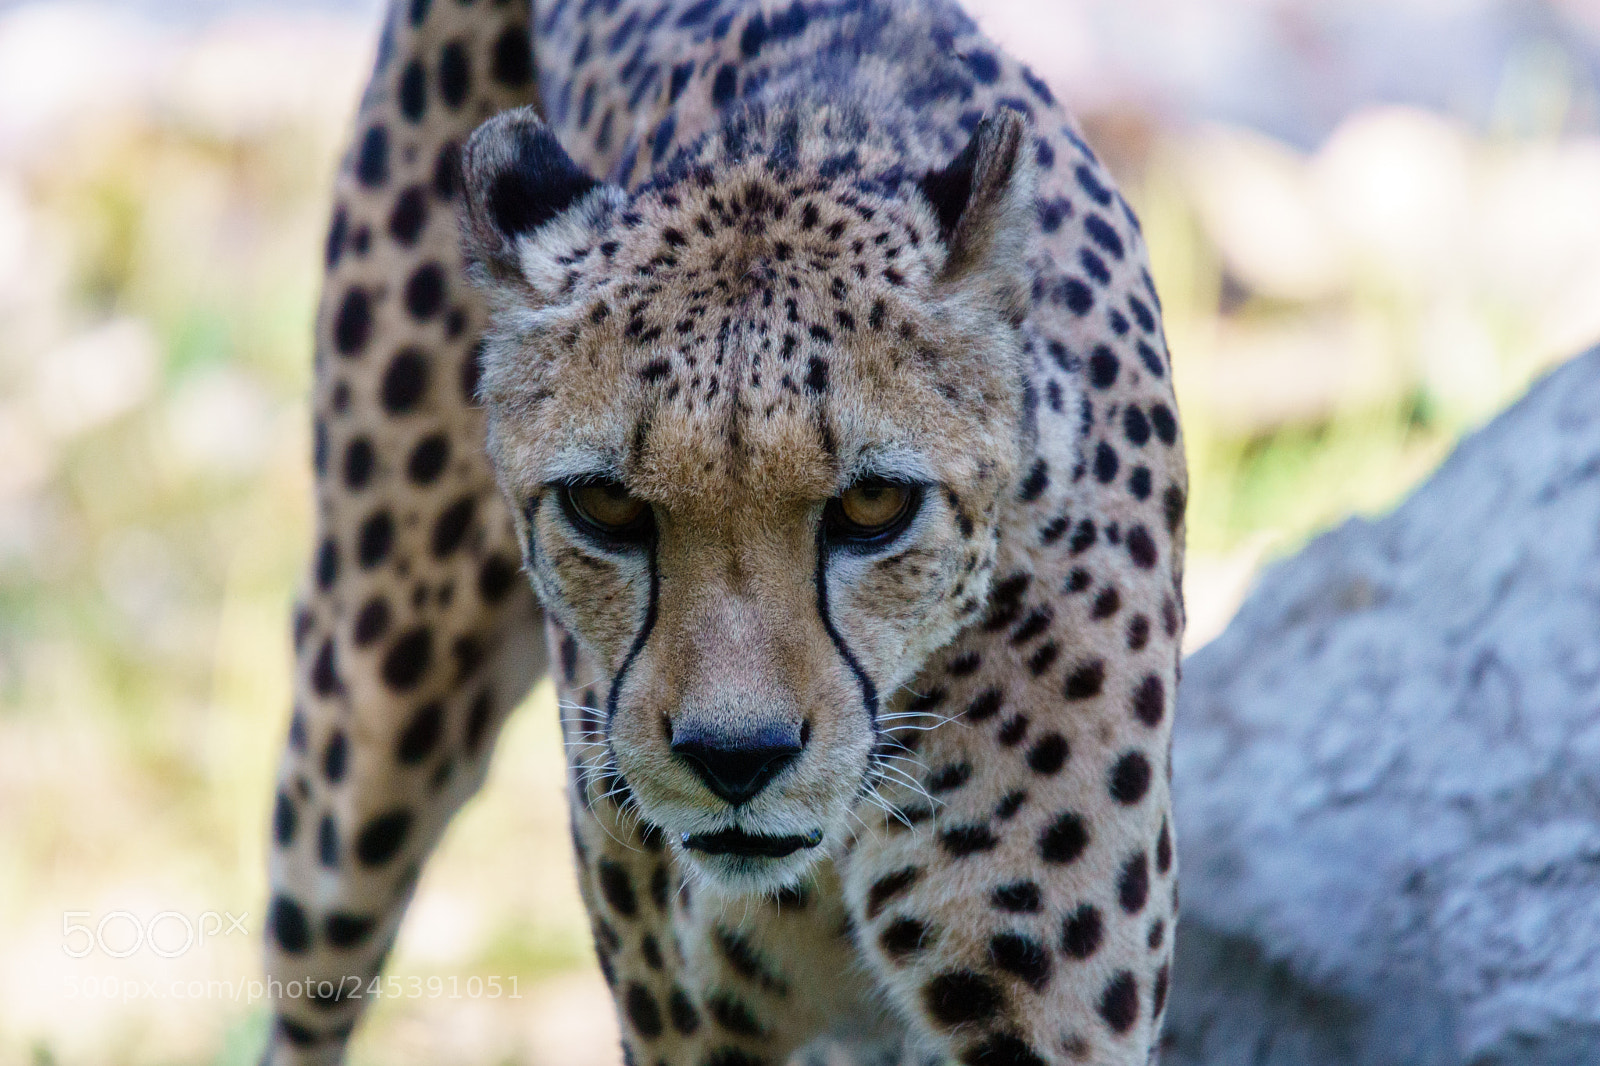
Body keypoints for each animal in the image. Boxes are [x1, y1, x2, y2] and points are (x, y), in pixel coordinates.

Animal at [261, 0, 1186, 1063]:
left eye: (875, 506)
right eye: (606, 505)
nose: (735, 758)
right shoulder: (678, 1020)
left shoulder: (1045, 1014)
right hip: (374, 707)